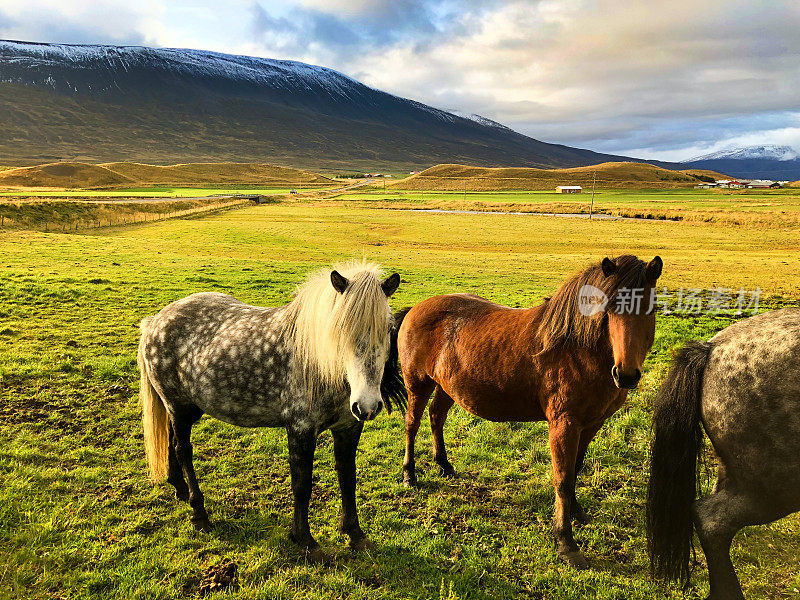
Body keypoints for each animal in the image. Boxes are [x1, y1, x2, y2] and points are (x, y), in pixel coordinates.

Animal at [394, 253, 664, 568]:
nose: (626, 375)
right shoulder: (564, 425)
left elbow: (576, 469)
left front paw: (577, 512)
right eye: (608, 310)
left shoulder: (591, 424)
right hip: (418, 385)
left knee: (437, 417)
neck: (577, 349)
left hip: (447, 387)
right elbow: (563, 478)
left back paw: (444, 465)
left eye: (650, 308)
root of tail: (416, 308)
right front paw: (566, 542)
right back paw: (409, 474)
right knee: (412, 424)